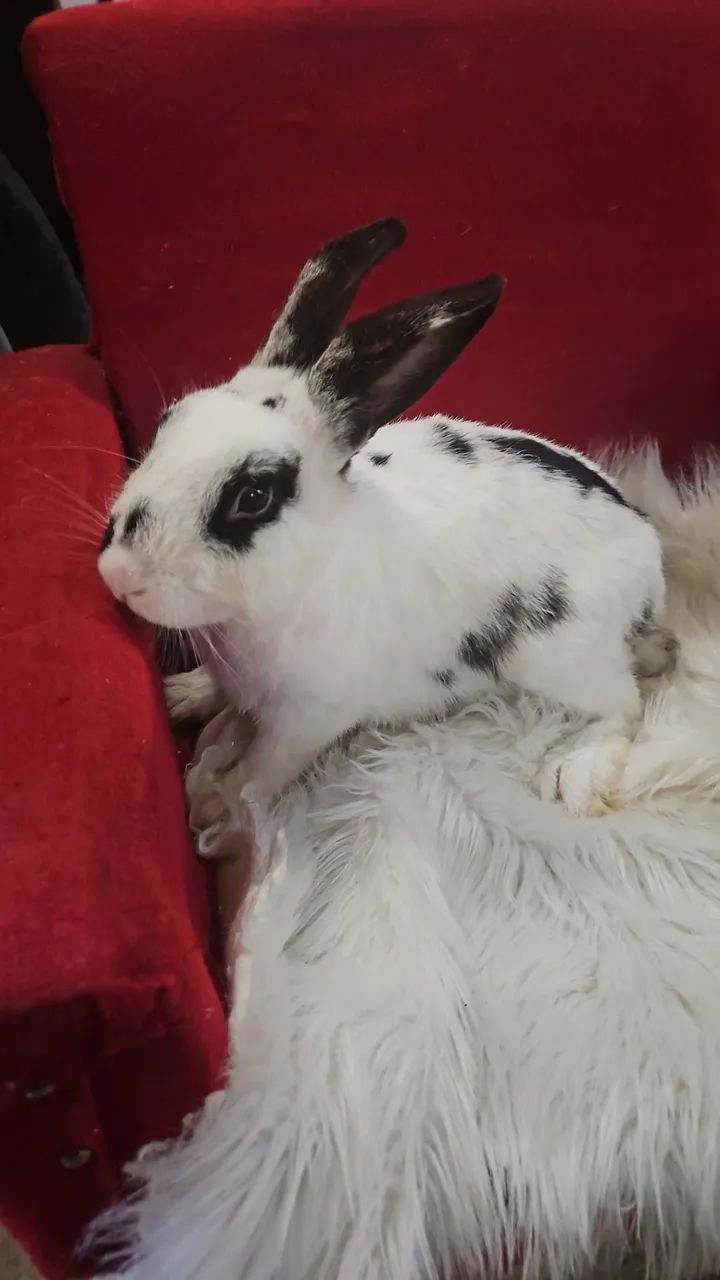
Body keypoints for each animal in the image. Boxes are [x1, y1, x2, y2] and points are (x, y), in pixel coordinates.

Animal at [98, 217, 676, 852]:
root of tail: (646, 550)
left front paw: (212, 810)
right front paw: (183, 695)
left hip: (559, 657)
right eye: (167, 422)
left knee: (623, 706)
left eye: (253, 497)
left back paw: (573, 772)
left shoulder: (308, 718)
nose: (118, 574)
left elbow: (257, 770)